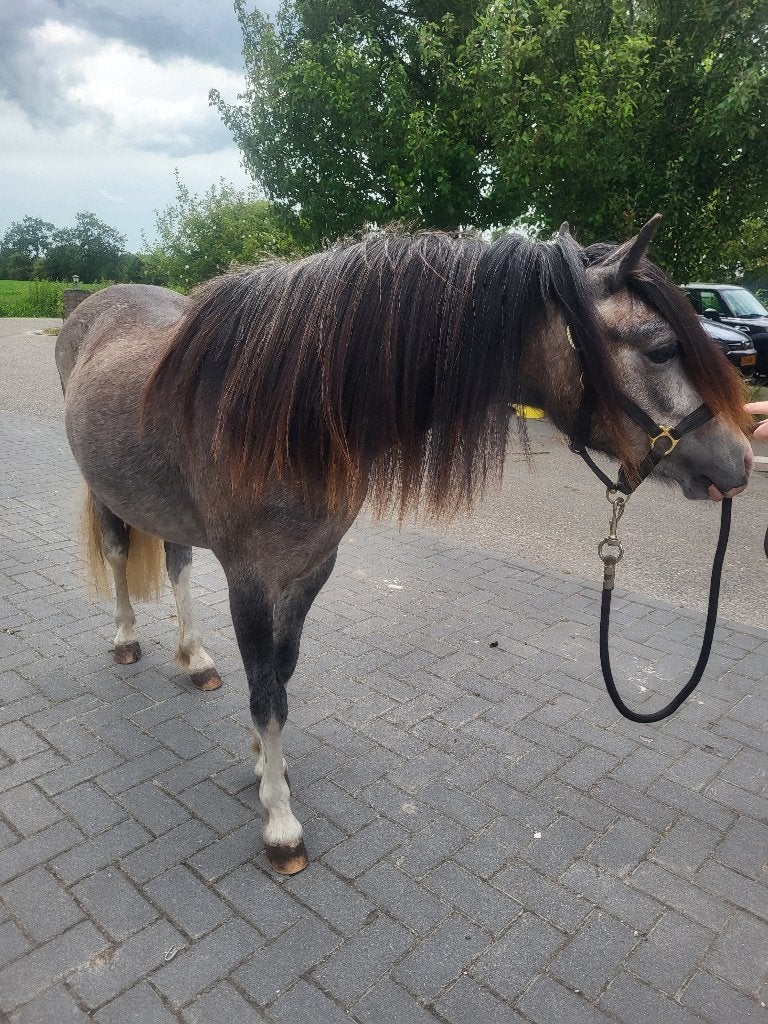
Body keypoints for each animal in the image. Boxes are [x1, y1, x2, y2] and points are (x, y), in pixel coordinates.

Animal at [55, 218, 751, 874]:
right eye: (661, 349)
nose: (741, 461)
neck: (285, 412)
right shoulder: (250, 578)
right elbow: (265, 694)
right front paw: (280, 824)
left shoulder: (311, 570)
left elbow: (280, 675)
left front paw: (262, 766)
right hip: (105, 490)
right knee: (118, 555)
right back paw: (126, 640)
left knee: (175, 565)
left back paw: (195, 658)